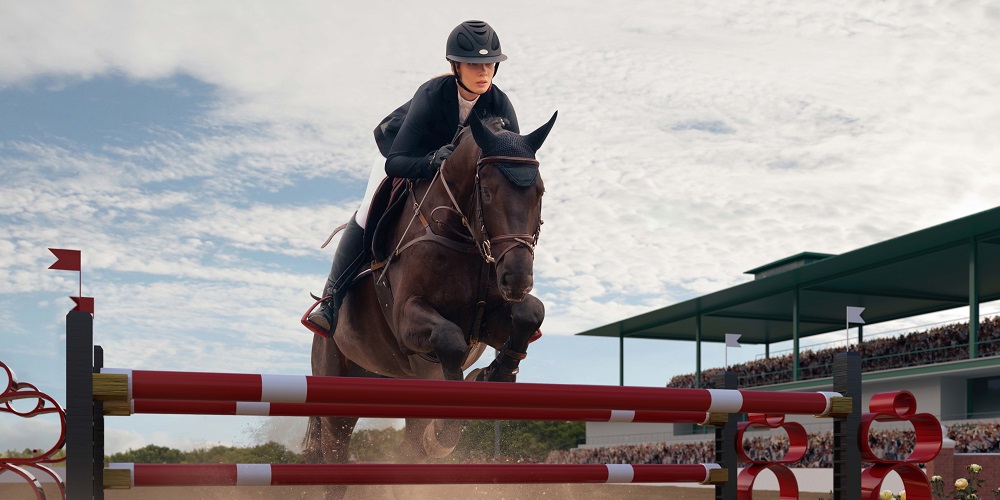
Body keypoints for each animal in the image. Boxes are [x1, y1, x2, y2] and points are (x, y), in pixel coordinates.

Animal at [300, 111, 560, 498]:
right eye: (486, 191)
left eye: (539, 192)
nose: (517, 280)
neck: (463, 236)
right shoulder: (409, 321)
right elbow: (449, 339)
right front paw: (445, 429)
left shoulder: (489, 321)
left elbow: (530, 314)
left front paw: (495, 375)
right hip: (337, 387)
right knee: (336, 456)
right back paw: (324, 313)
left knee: (408, 448)